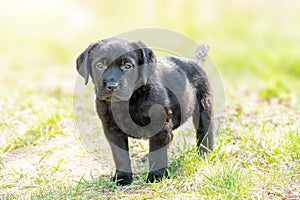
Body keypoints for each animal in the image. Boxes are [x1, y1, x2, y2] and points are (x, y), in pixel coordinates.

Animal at [76, 38, 214, 186]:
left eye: (128, 66)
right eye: (100, 65)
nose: (112, 86)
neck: (128, 101)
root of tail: (193, 62)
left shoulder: (160, 125)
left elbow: (157, 153)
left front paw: (156, 177)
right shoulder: (111, 129)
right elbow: (120, 155)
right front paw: (122, 178)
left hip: (204, 106)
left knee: (205, 132)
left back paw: (205, 155)